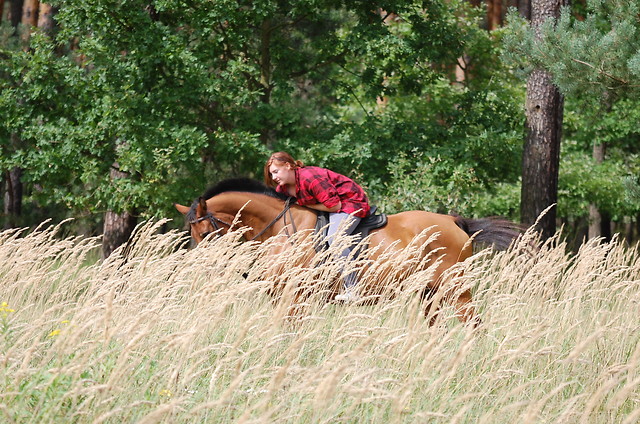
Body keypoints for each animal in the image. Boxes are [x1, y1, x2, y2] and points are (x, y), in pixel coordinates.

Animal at [174, 177, 520, 326]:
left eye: (204, 233)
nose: (200, 268)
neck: (279, 227)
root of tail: (453, 221)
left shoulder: (296, 296)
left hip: (456, 289)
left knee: (474, 324)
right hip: (429, 293)